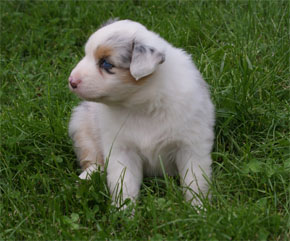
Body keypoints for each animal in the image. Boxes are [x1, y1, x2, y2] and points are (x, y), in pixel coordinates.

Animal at [67, 19, 213, 207]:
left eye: (106, 64)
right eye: (86, 55)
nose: (71, 81)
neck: (141, 106)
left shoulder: (191, 145)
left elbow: (194, 180)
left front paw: (198, 209)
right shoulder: (121, 149)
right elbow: (123, 183)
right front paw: (123, 211)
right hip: (81, 124)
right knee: (93, 159)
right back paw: (86, 178)